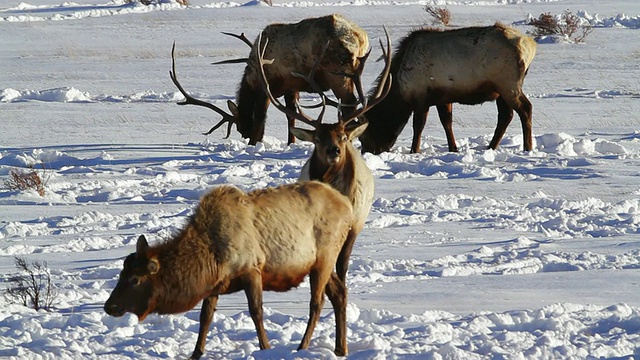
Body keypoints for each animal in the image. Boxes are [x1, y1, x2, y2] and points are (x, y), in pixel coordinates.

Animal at [105, 181, 356, 358]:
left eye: (135, 279)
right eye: (121, 274)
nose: (110, 306)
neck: (210, 256)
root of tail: (348, 206)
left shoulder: (252, 269)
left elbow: (256, 312)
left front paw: (266, 348)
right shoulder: (215, 284)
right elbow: (205, 317)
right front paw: (196, 352)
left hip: (325, 257)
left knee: (317, 302)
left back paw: (302, 346)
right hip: (320, 263)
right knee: (339, 293)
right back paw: (340, 348)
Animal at [169, 13, 370, 145]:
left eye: (241, 127)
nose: (246, 136)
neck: (252, 78)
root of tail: (360, 37)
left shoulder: (267, 87)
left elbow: (260, 117)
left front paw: (255, 143)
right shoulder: (292, 87)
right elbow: (290, 117)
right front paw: (291, 143)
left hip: (338, 74)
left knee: (350, 103)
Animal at [358, 23, 536, 154]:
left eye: (364, 135)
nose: (369, 152)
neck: (401, 89)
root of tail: (531, 45)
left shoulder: (421, 97)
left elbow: (418, 125)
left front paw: (414, 150)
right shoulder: (442, 97)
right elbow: (446, 122)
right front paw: (453, 148)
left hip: (508, 83)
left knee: (525, 108)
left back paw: (527, 147)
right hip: (501, 90)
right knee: (506, 115)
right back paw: (491, 146)